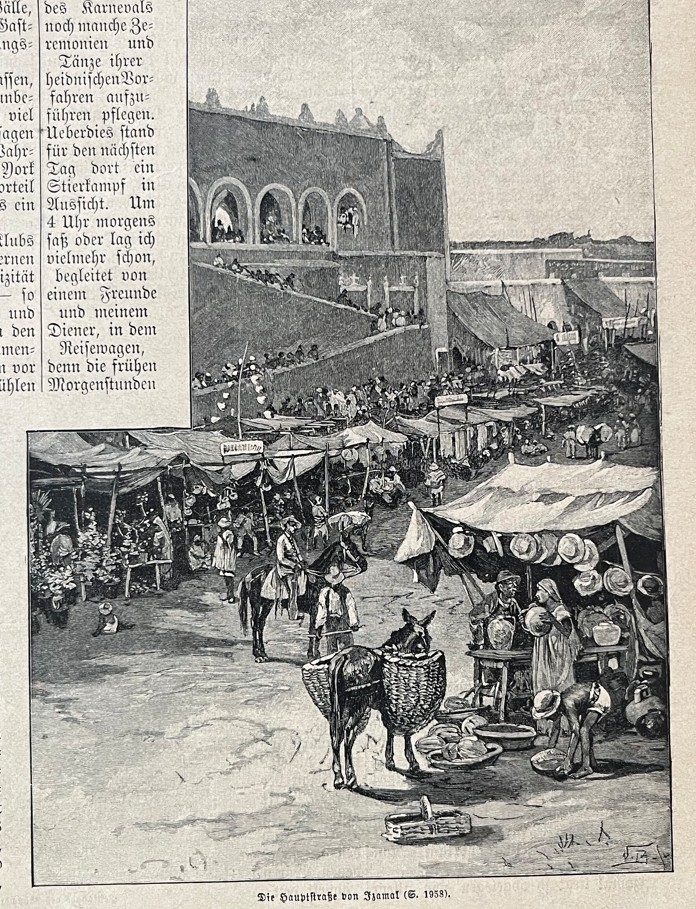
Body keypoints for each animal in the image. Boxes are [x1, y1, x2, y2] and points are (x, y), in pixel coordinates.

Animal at [238, 536, 370, 664]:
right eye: (351, 548)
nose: (364, 564)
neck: (317, 579)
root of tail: (249, 576)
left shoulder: (314, 612)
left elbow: (312, 631)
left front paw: (311, 654)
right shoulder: (317, 610)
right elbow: (317, 631)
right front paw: (315, 655)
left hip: (267, 604)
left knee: (261, 624)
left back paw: (263, 653)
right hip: (256, 604)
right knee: (255, 624)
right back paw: (257, 655)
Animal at [326, 612, 436, 788]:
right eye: (427, 638)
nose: (426, 653)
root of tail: (344, 657)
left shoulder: (388, 708)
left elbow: (390, 729)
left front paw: (390, 761)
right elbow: (405, 734)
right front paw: (413, 764)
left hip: (338, 705)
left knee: (335, 735)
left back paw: (338, 777)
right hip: (358, 705)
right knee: (348, 735)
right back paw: (351, 777)